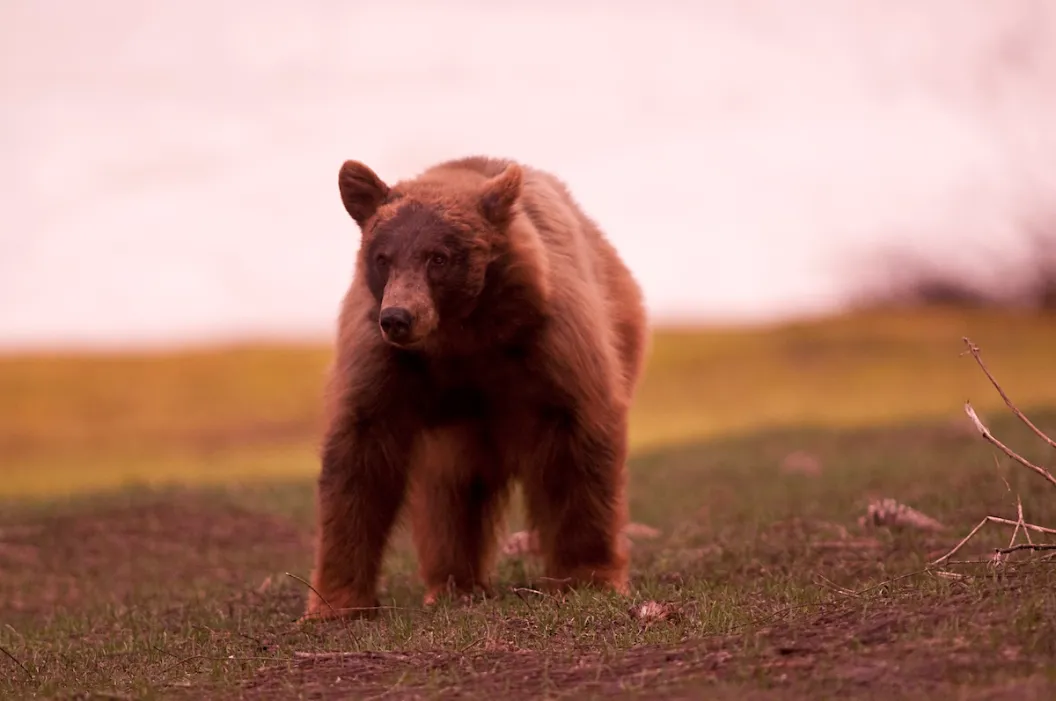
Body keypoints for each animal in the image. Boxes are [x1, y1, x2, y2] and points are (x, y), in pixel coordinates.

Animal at [303, 155, 649, 620]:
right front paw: (336, 602)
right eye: (382, 257)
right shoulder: (383, 361)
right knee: (452, 492)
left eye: (438, 257)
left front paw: (589, 577)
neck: (464, 338)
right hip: (456, 433)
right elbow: (359, 457)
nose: (397, 318)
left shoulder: (553, 343)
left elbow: (578, 446)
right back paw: (454, 584)